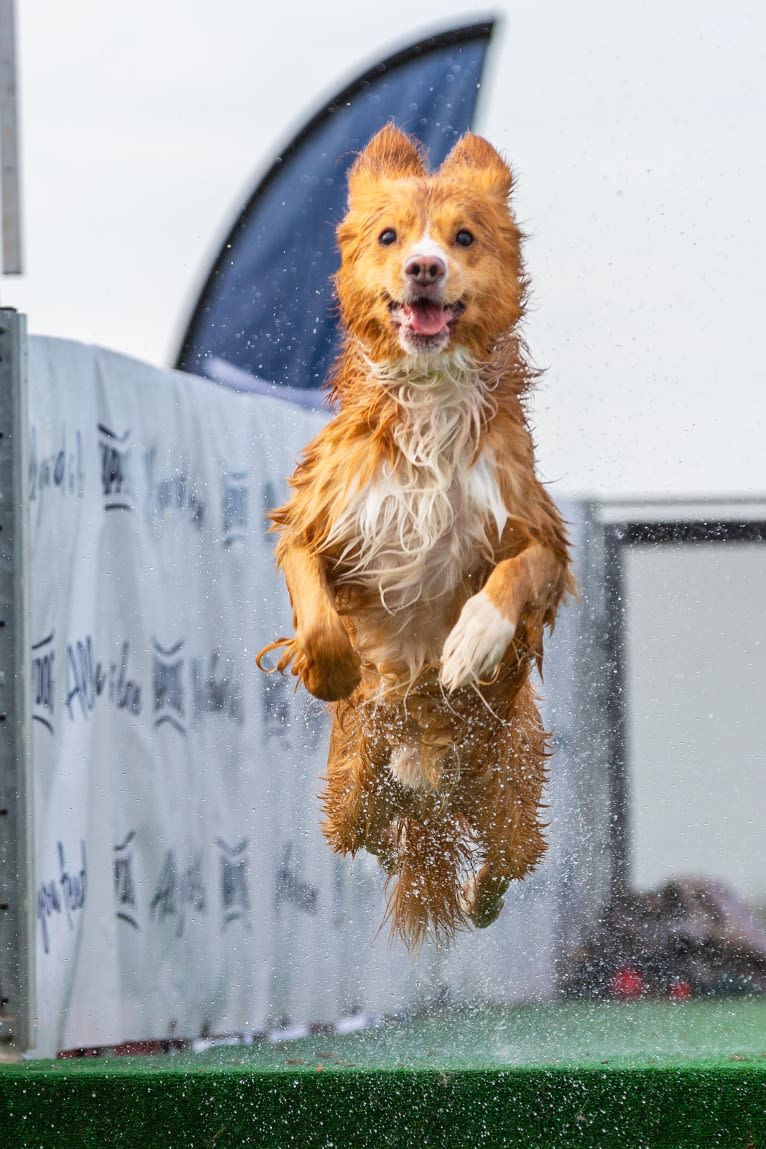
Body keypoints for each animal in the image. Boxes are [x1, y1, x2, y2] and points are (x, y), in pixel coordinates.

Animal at [259, 125, 574, 942]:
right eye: (389, 236)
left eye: (463, 237)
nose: (424, 266)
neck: (430, 399)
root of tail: (433, 781)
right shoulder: (318, 513)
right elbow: (317, 606)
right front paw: (334, 670)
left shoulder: (538, 529)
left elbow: (516, 573)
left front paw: (471, 643)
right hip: (349, 792)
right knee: (373, 836)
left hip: (511, 787)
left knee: (502, 867)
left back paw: (475, 898)